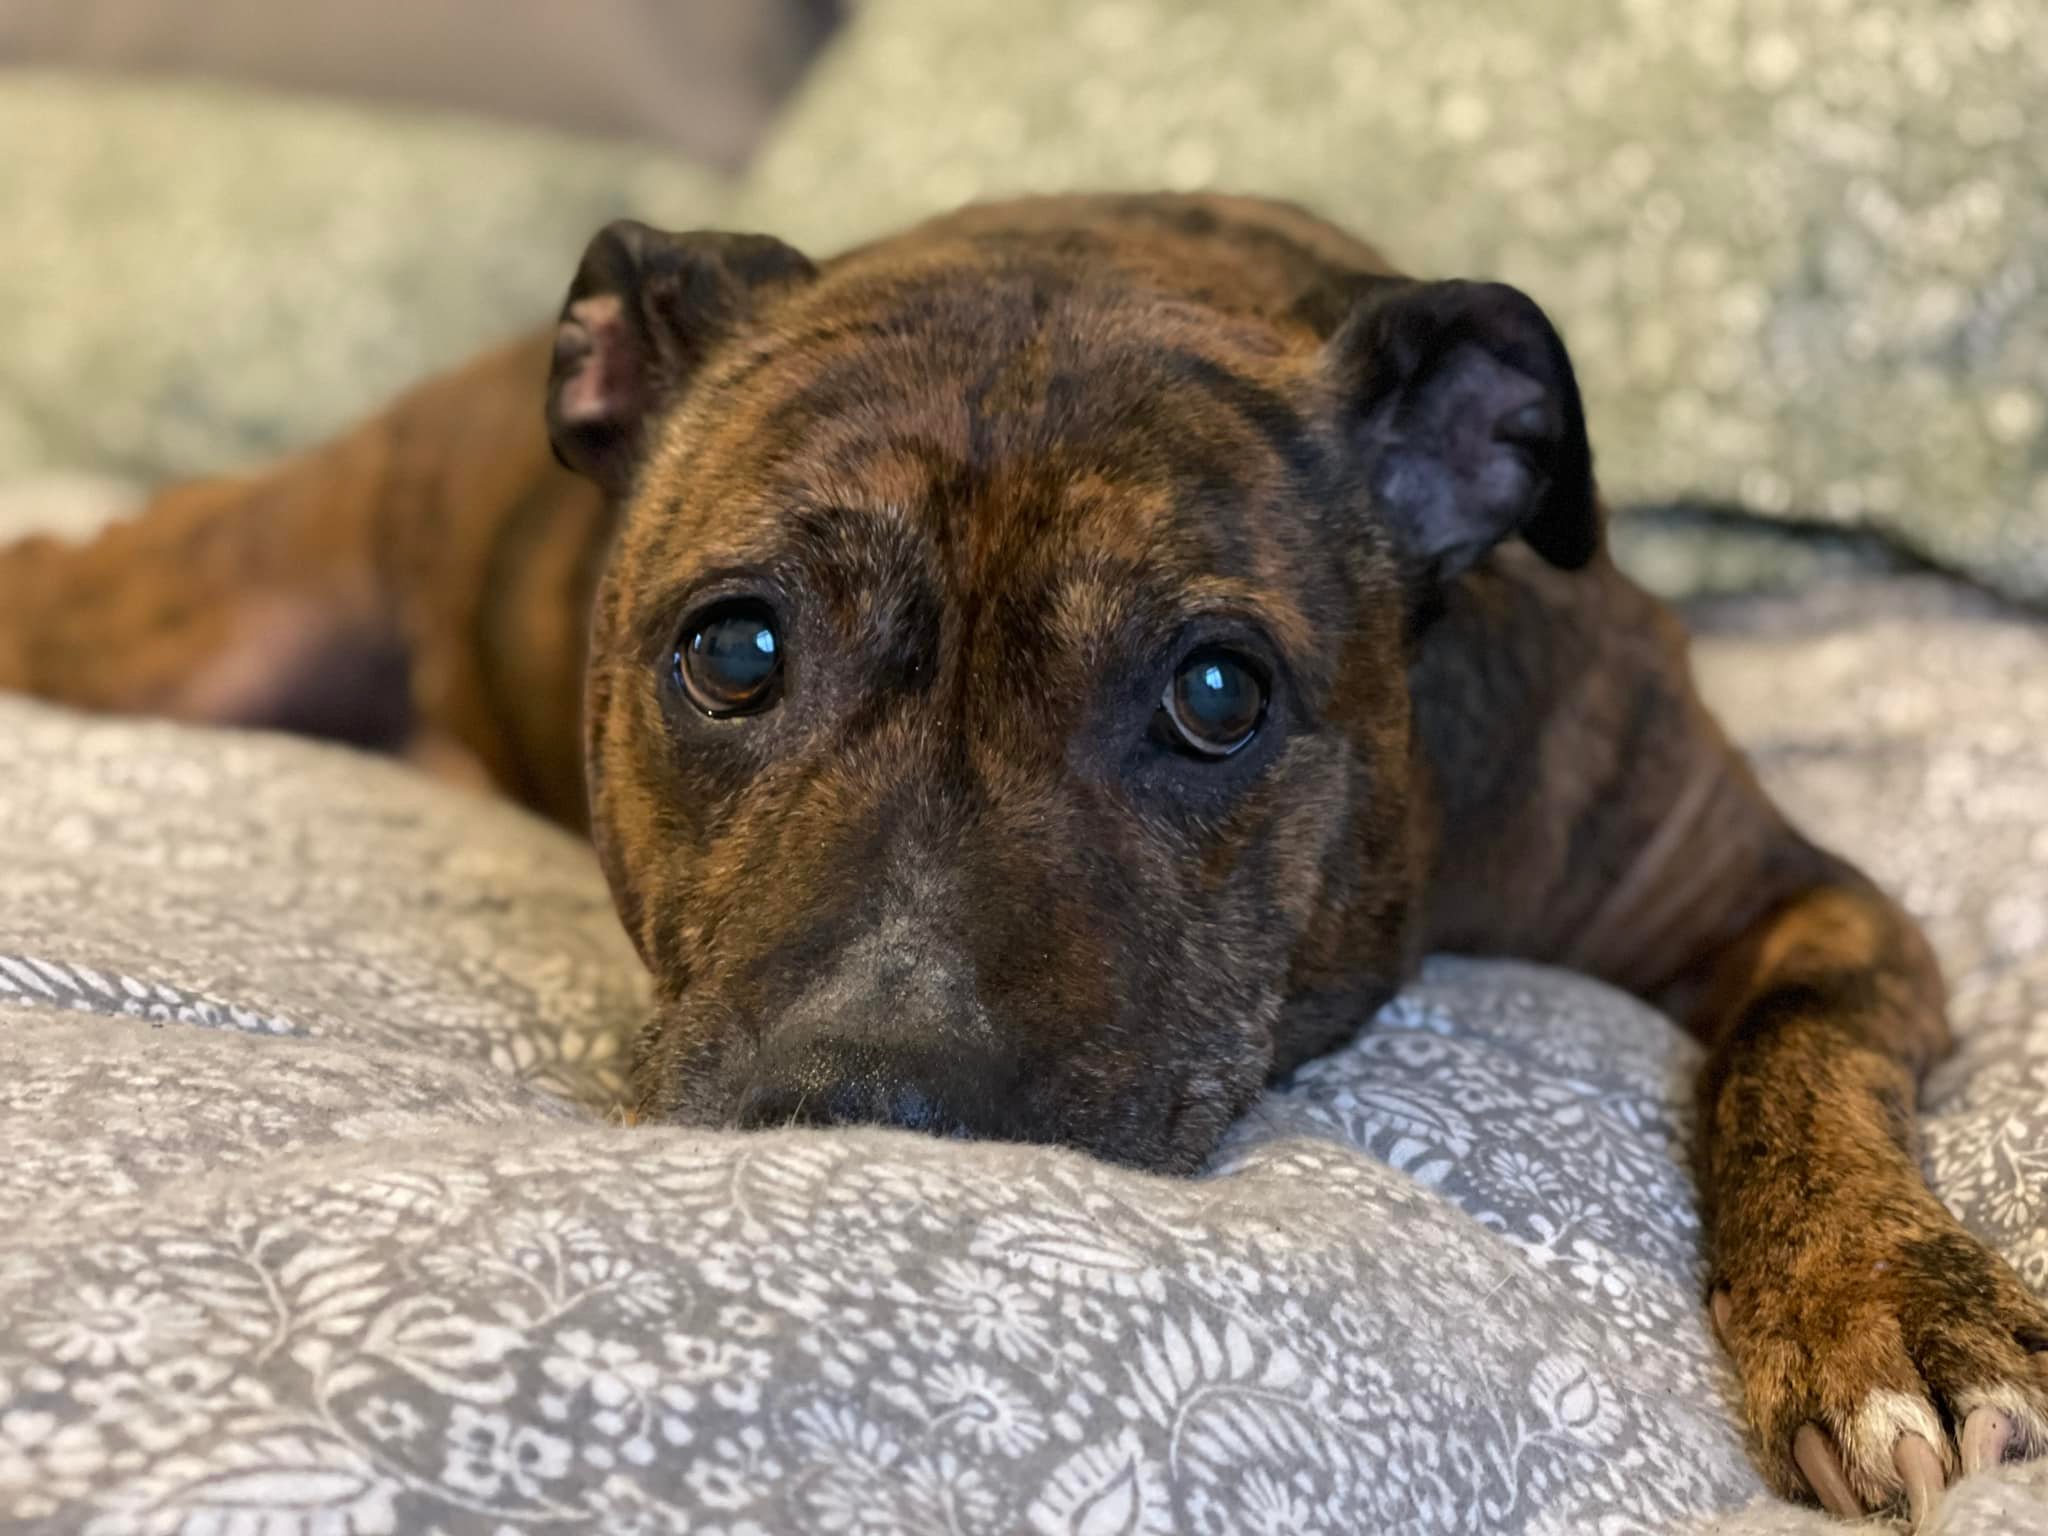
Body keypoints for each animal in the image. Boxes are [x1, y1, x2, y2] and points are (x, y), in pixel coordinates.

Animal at [2, 193, 2041, 1522]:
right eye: (732, 648)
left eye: (1217, 691)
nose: (873, 1108)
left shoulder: (1794, 899)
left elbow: (1794, 1066)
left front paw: (1885, 1316)